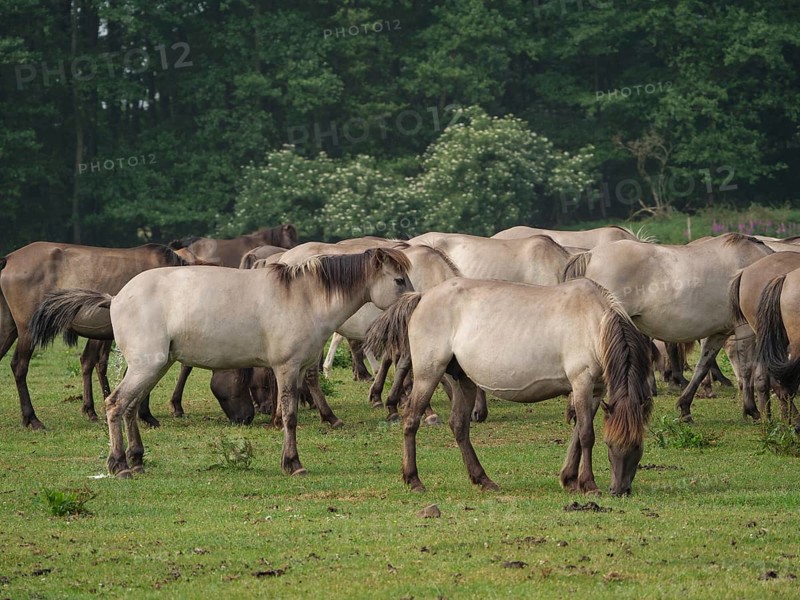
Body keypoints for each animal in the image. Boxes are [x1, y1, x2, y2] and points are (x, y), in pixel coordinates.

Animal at [0, 241, 202, 429]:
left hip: (9, 329)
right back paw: (32, 418)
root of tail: (9, 258)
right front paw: (147, 415)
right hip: (27, 330)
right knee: (19, 367)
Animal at [33, 248, 413, 478]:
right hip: (147, 366)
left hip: (154, 366)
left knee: (130, 406)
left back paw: (135, 459)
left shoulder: (302, 368)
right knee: (116, 404)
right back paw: (119, 464)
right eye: (398, 280)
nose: (414, 304)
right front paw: (293, 463)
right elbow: (289, 416)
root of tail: (116, 298)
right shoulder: (286, 369)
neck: (304, 296)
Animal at [365, 278, 653, 496]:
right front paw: (588, 485)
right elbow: (585, 435)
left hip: (463, 380)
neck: (594, 320)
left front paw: (570, 479)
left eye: (638, 446)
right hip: (428, 374)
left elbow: (577, 434)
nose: (620, 490)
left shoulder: (595, 390)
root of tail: (423, 297)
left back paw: (483, 480)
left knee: (459, 426)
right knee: (411, 420)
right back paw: (414, 480)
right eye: (610, 444)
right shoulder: (581, 382)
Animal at [565, 233, 773, 422]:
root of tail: (591, 254)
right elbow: (747, 368)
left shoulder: (718, 333)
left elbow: (702, 366)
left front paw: (685, 407)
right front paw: (752, 409)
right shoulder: (745, 330)